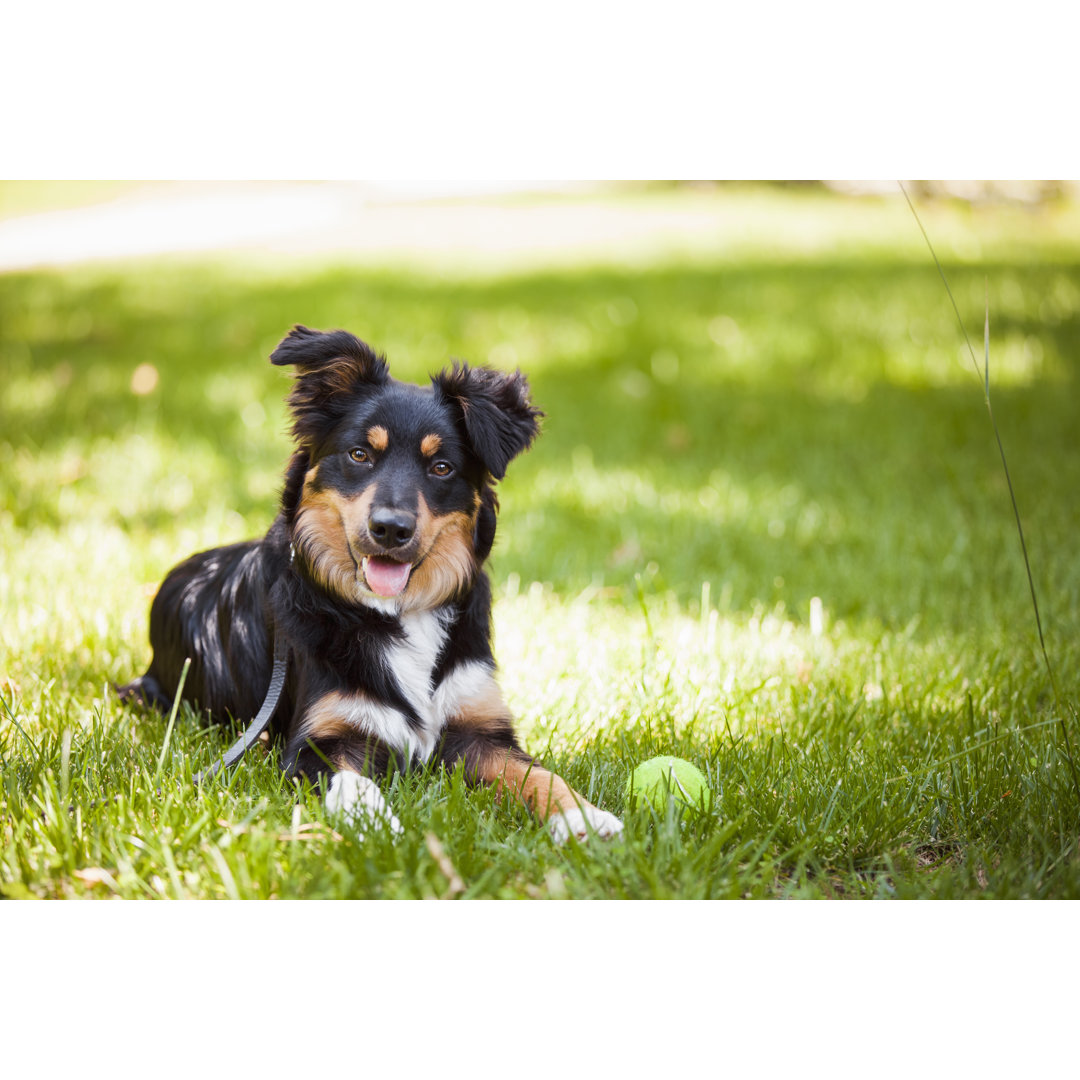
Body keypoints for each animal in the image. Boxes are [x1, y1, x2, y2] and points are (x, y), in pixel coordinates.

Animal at [116, 324, 626, 846]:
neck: (399, 611)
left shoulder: (480, 732)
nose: (390, 529)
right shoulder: (319, 740)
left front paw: (582, 817)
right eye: (359, 454)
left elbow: (541, 775)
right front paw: (377, 828)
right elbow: (353, 783)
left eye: (441, 467)